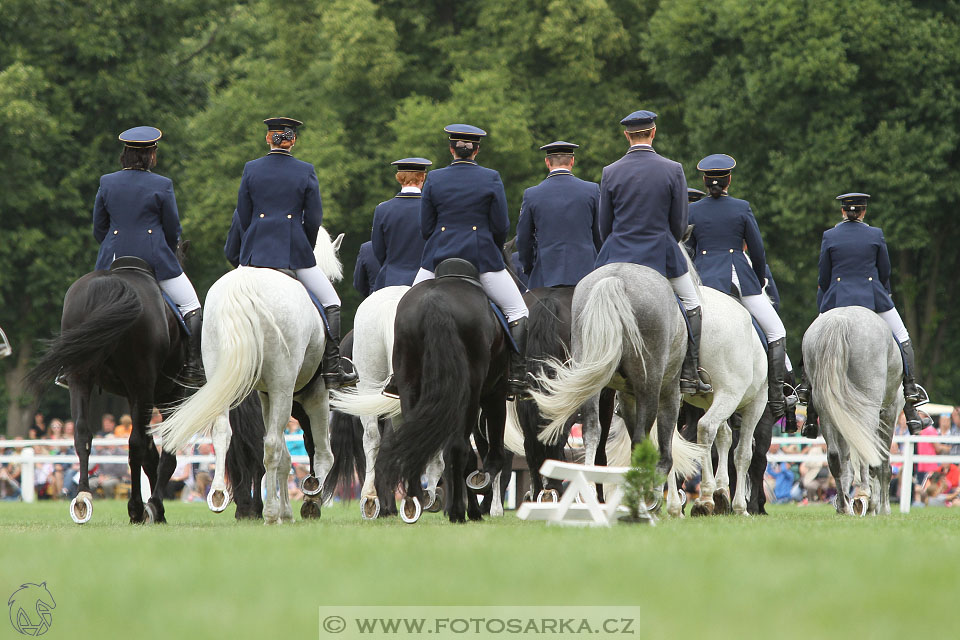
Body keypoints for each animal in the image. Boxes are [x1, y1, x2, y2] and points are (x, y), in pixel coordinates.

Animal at [28, 258, 191, 524]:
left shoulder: (137, 397)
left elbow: (152, 454)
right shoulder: (167, 396)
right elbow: (163, 454)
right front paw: (156, 507)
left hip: (80, 379)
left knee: (82, 433)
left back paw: (83, 498)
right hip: (144, 387)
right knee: (135, 444)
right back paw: (136, 507)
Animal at [152, 228, 344, 524]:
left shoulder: (266, 397)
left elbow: (285, 458)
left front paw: (289, 508)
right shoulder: (314, 396)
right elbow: (321, 453)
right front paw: (310, 499)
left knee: (225, 435)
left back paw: (222, 496)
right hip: (283, 388)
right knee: (273, 446)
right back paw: (269, 511)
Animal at [376, 262, 512, 524]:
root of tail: (435, 302)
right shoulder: (495, 391)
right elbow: (489, 450)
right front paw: (478, 492)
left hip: (410, 387)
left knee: (418, 443)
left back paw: (414, 502)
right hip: (471, 392)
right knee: (458, 448)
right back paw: (458, 511)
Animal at [800, 304, 904, 516]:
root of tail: (840, 320)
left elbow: (847, 461)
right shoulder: (889, 414)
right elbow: (882, 464)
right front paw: (882, 508)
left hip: (827, 411)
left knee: (834, 456)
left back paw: (844, 506)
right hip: (868, 409)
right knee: (865, 453)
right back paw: (864, 496)